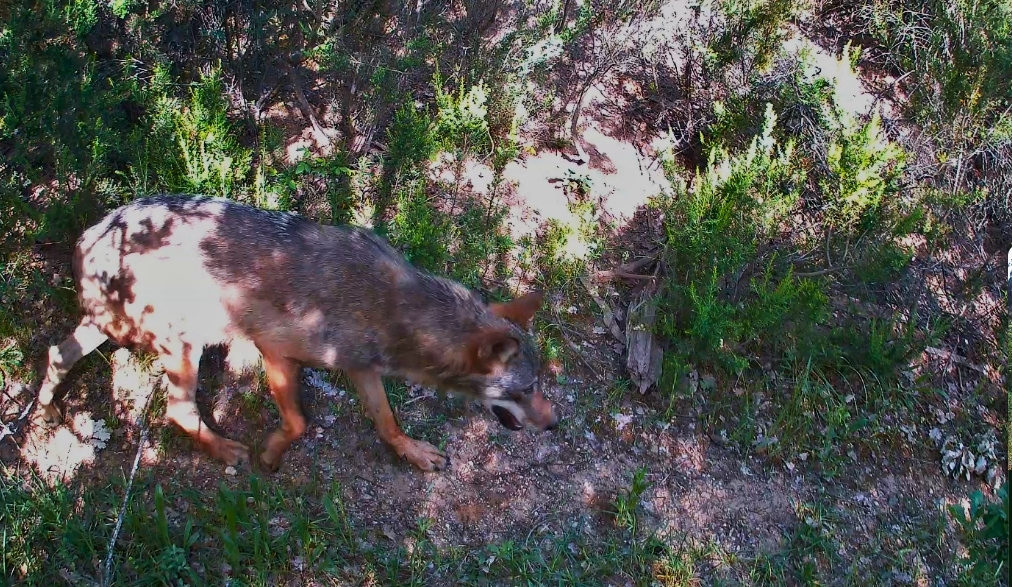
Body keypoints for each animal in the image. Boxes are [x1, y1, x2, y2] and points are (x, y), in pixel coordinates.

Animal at [35, 194, 558, 472]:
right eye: (525, 389)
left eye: (538, 386)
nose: (554, 424)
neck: (394, 310)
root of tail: (89, 236)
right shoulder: (274, 351)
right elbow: (300, 423)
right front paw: (269, 452)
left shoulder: (361, 369)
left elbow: (387, 421)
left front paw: (411, 451)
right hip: (183, 347)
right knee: (178, 412)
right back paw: (228, 450)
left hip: (112, 329)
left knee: (56, 352)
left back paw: (45, 411)